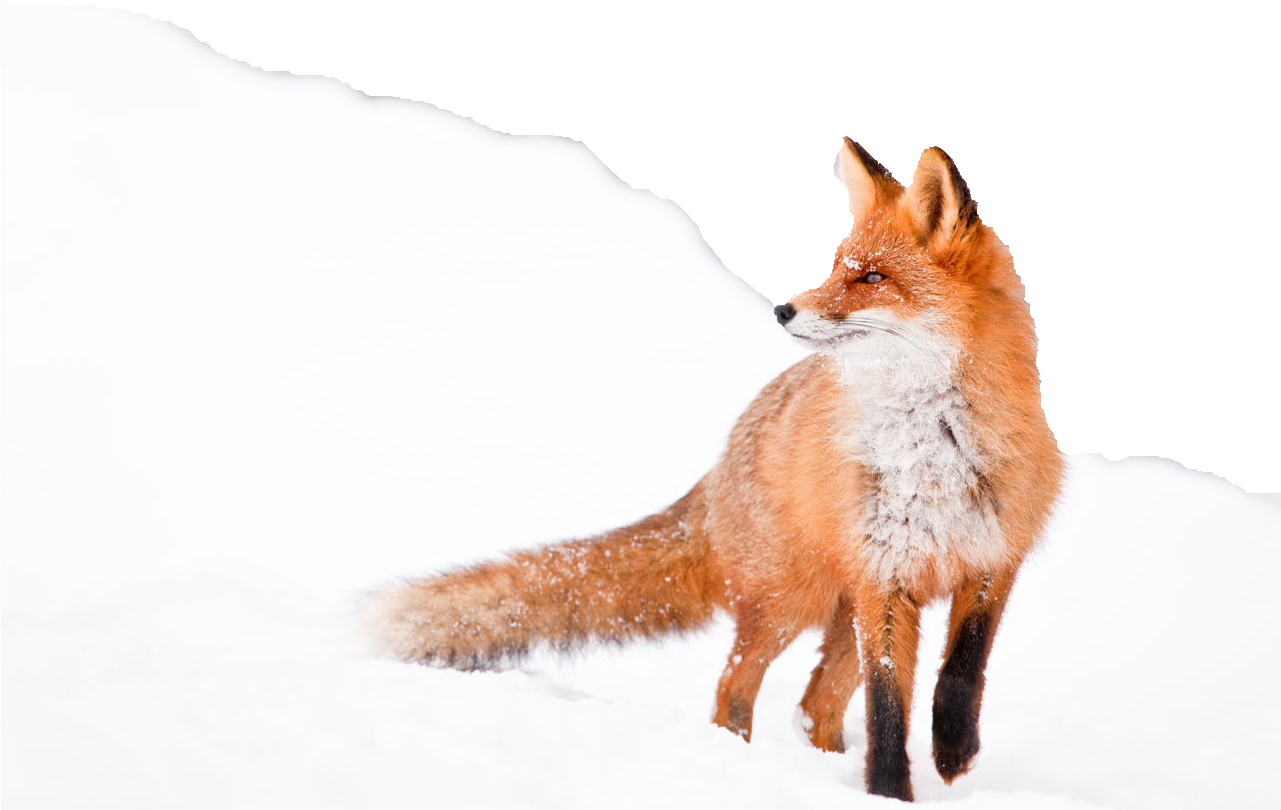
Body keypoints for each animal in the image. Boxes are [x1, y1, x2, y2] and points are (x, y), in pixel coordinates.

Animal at [362, 139, 1063, 802]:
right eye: (837, 267)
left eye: (872, 278)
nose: (782, 309)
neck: (933, 453)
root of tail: (719, 463)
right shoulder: (884, 578)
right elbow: (887, 709)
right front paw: (891, 793)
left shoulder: (993, 560)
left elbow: (962, 670)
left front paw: (953, 752)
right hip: (790, 604)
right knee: (735, 686)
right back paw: (741, 764)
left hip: (833, 612)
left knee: (813, 707)